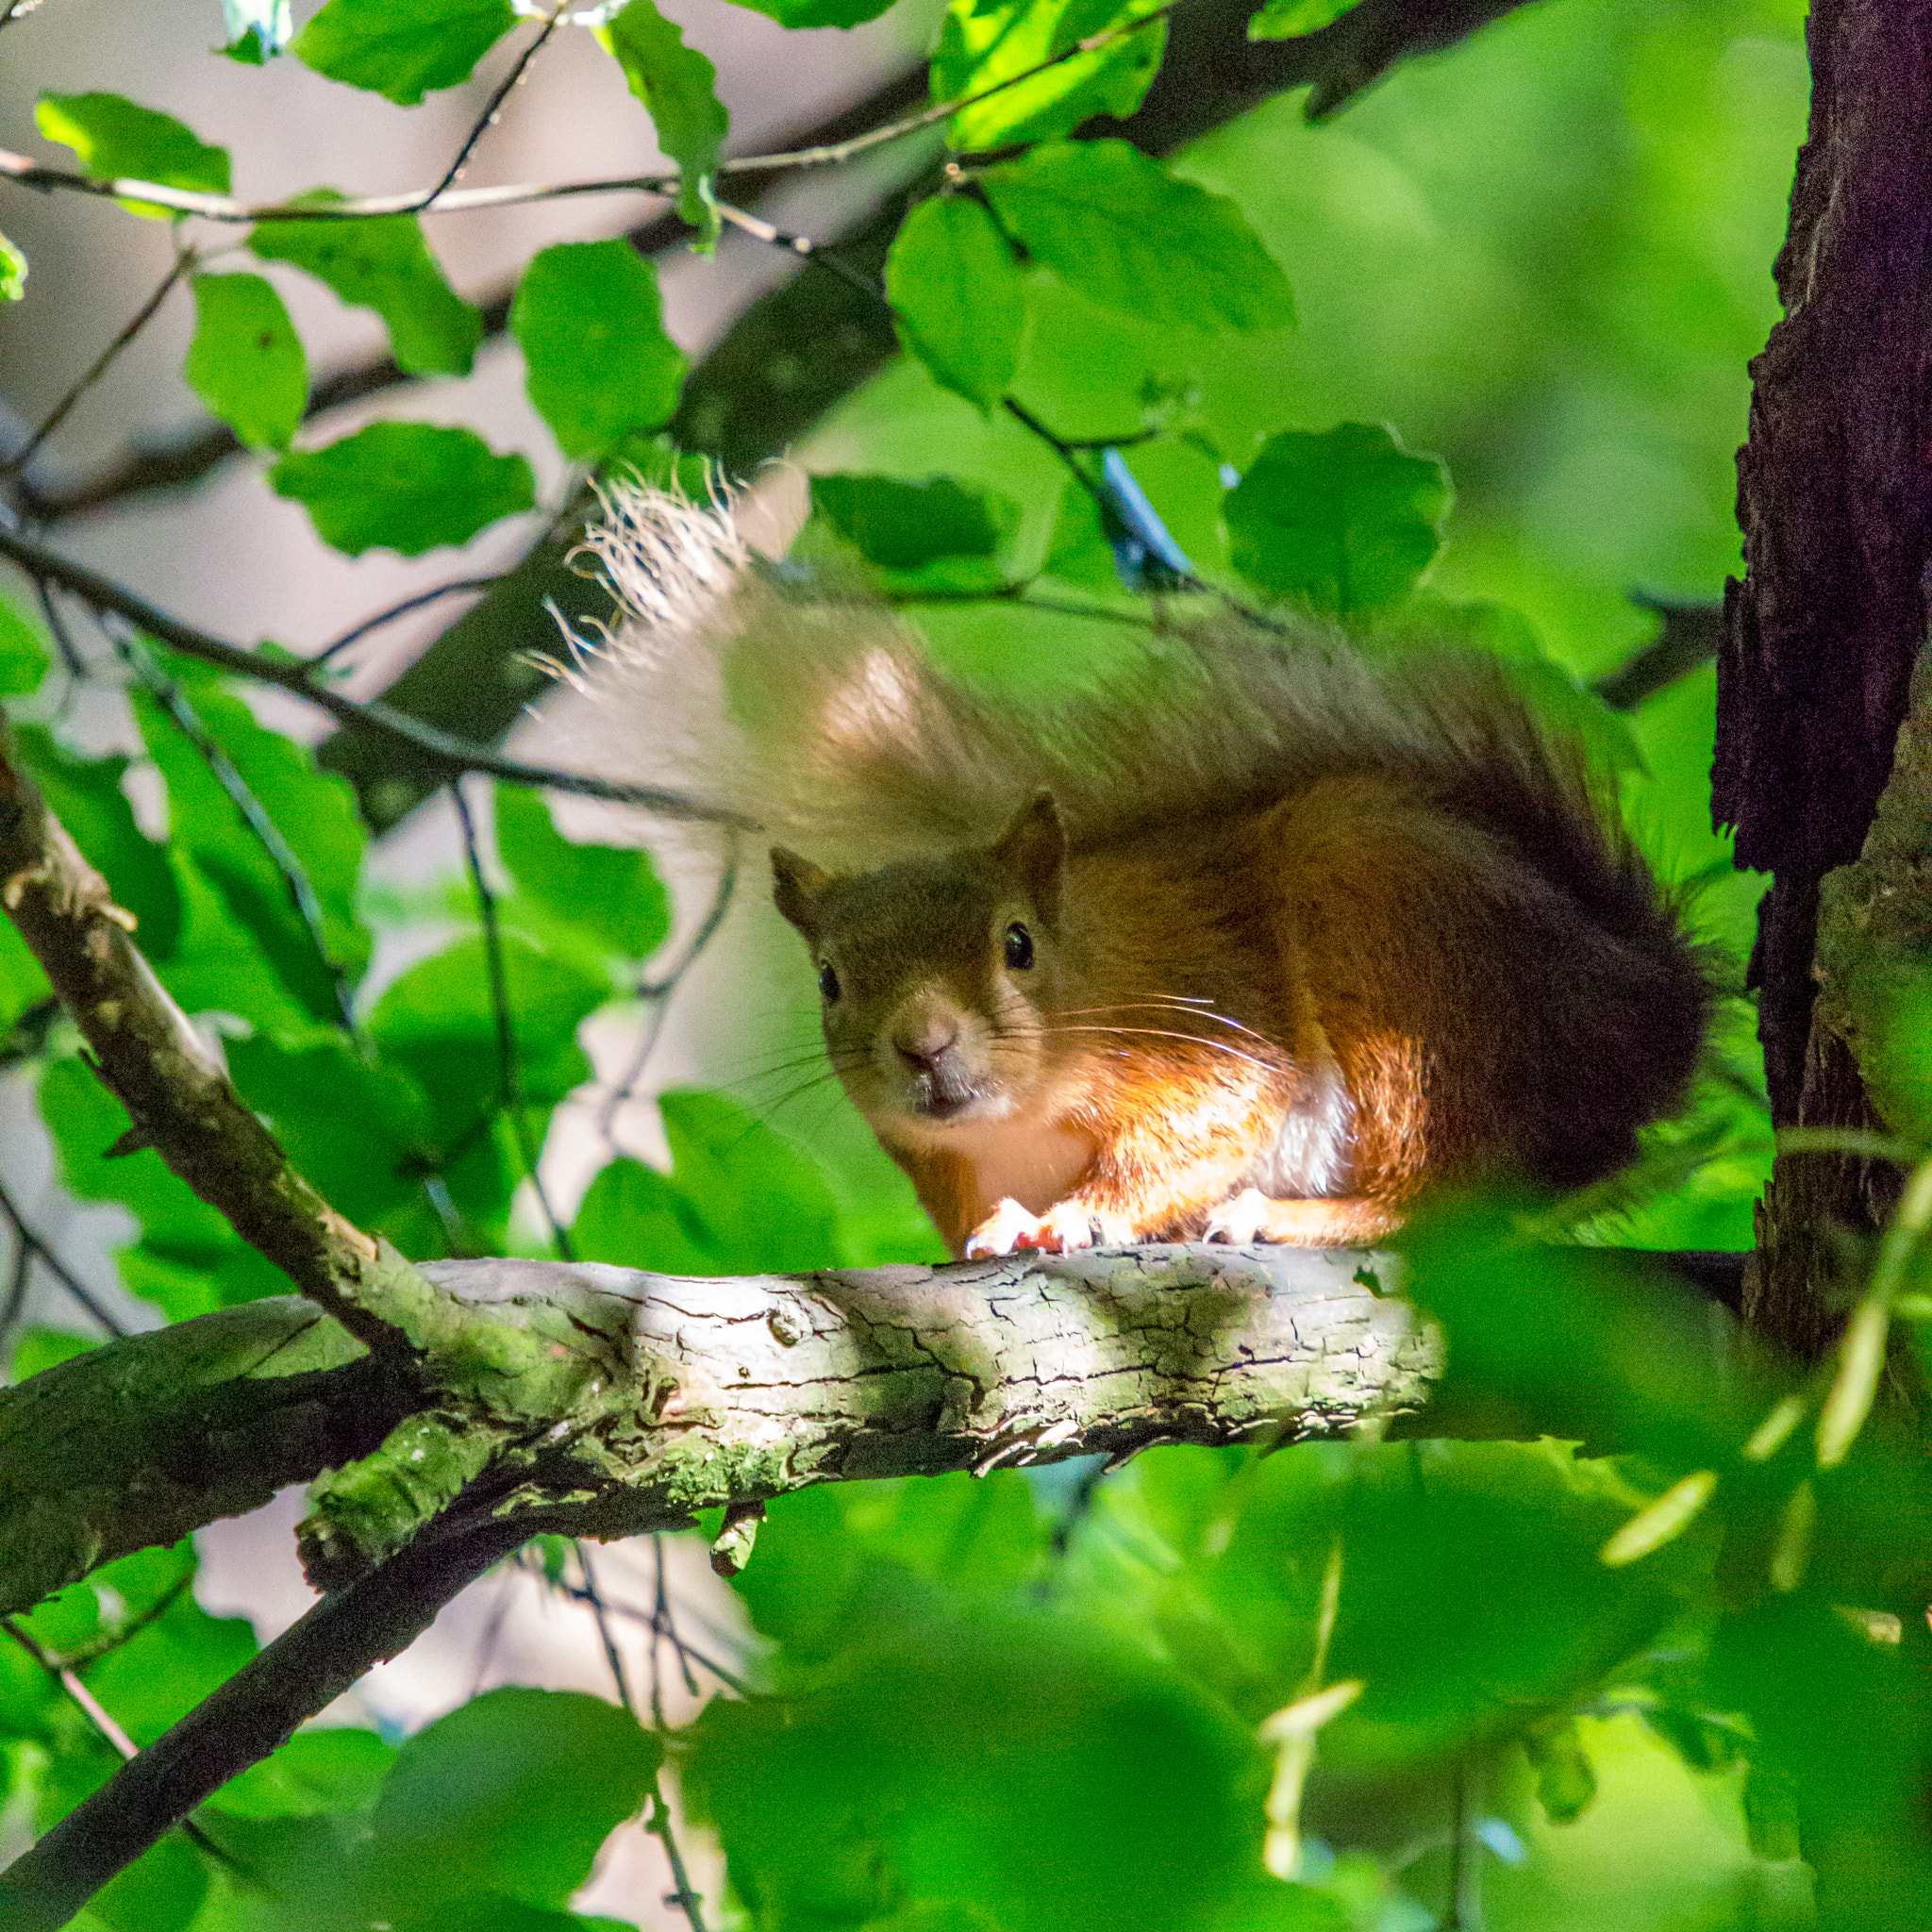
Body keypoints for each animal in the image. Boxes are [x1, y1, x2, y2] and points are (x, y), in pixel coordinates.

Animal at [579, 486, 1711, 1261]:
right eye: (828, 979)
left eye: (1019, 944)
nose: (924, 1044)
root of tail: (1649, 1020)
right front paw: (998, 1226)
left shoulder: (1200, 1030)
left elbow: (1203, 1126)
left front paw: (1073, 1216)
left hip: (1399, 960)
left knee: (1449, 1187)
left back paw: (1295, 1217)